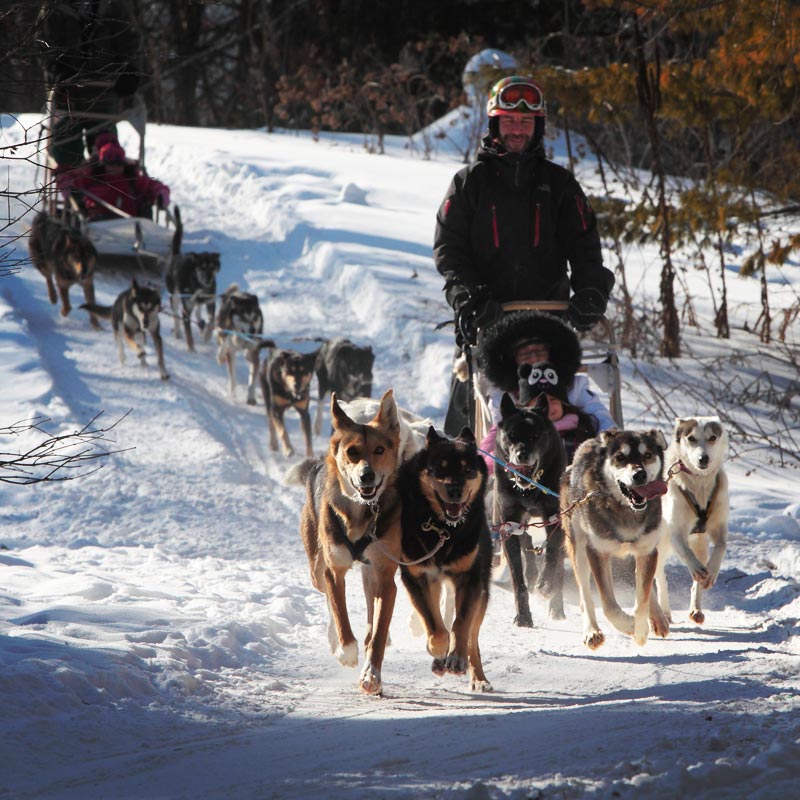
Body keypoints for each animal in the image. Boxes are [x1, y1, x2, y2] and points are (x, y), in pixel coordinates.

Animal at [284, 390, 404, 692]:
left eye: (379, 450)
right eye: (352, 452)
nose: (366, 475)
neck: (362, 512)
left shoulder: (385, 577)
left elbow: (378, 632)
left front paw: (371, 674)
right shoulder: (333, 569)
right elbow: (340, 614)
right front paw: (346, 652)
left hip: (370, 574)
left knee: (372, 615)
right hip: (316, 567)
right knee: (327, 599)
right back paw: (335, 642)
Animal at [396, 424, 490, 692]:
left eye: (468, 469)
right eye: (439, 468)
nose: (455, 491)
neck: (443, 528)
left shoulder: (470, 579)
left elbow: (461, 624)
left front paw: (456, 658)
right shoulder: (417, 577)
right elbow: (435, 624)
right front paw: (438, 649)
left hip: (483, 590)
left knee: (472, 636)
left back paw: (478, 677)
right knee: (438, 619)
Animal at [494, 392, 568, 624]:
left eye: (535, 435)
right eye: (511, 435)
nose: (522, 455)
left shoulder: (555, 519)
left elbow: (552, 558)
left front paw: (546, 585)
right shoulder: (508, 526)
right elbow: (518, 578)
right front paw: (524, 615)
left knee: (558, 567)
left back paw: (556, 605)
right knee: (526, 544)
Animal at [560, 432, 672, 648]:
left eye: (647, 455)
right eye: (620, 457)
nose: (639, 474)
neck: (626, 510)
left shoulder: (646, 551)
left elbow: (643, 598)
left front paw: (641, 629)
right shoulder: (597, 552)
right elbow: (608, 605)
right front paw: (630, 625)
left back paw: (658, 617)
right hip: (580, 550)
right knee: (585, 595)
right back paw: (592, 631)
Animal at [652, 416, 728, 628]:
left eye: (712, 437)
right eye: (691, 438)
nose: (704, 459)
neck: (699, 484)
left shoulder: (719, 528)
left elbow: (721, 547)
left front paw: (711, 572)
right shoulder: (676, 533)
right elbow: (686, 553)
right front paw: (696, 568)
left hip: (699, 543)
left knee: (696, 583)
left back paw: (696, 609)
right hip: (658, 546)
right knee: (659, 578)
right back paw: (664, 612)